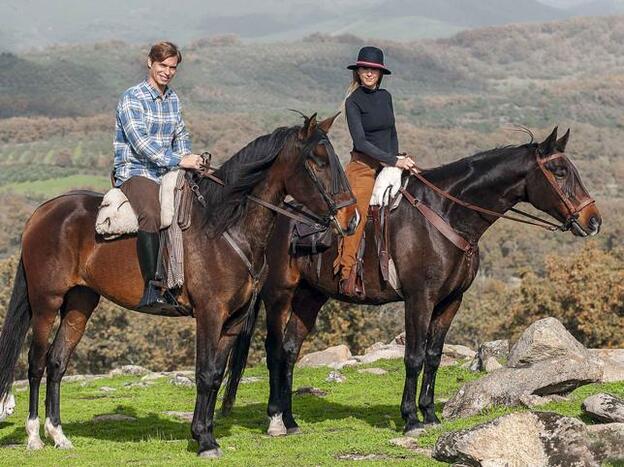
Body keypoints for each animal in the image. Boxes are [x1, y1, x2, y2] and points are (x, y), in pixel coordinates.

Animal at [0, 114, 356, 460]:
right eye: (317, 161)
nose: (350, 219)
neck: (224, 228)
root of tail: (42, 212)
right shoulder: (210, 314)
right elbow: (204, 373)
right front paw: (204, 441)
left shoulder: (234, 319)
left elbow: (216, 375)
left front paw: (206, 433)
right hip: (46, 303)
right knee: (36, 362)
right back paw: (34, 437)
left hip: (80, 303)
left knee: (57, 362)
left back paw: (59, 435)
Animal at [222, 126, 604, 436]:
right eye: (559, 171)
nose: (593, 220)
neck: (446, 215)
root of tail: (276, 215)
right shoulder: (420, 297)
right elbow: (414, 357)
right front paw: (410, 419)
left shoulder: (450, 301)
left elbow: (433, 356)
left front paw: (430, 414)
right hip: (279, 295)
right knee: (274, 350)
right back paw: (275, 420)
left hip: (310, 297)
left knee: (289, 350)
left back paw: (290, 420)